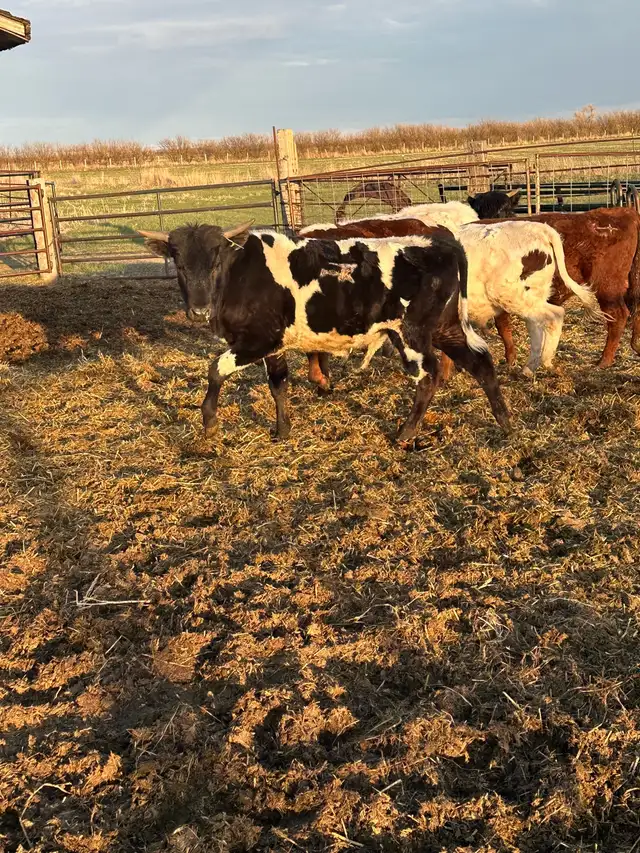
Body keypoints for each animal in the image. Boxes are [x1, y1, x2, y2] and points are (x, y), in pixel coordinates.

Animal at [139, 222, 512, 441]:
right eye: (178, 262)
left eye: (216, 259)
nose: (198, 311)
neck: (242, 274)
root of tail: (441, 244)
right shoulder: (274, 346)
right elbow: (278, 385)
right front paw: (282, 430)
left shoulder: (258, 340)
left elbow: (215, 369)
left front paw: (210, 420)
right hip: (446, 328)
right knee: (481, 363)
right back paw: (504, 421)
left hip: (412, 334)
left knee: (429, 376)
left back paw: (405, 433)